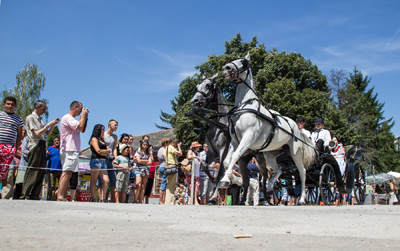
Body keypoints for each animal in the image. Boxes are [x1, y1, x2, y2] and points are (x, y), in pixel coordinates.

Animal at [219, 52, 316, 204]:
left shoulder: (248, 137)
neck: (245, 106)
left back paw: (301, 199)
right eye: (234, 59)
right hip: (270, 154)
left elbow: (235, 156)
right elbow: (227, 160)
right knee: (278, 171)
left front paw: (226, 179)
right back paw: (270, 188)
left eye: (244, 61)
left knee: (302, 173)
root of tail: (296, 128)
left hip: (295, 153)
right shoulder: (235, 141)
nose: (226, 68)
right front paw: (230, 179)